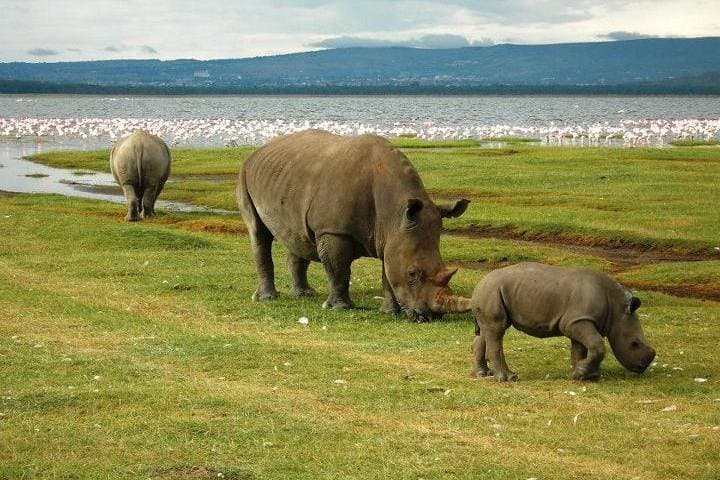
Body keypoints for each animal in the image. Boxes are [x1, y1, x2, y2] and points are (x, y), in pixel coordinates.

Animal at [236, 129, 470, 322]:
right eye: (413, 274)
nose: (430, 316)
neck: (394, 211)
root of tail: (259, 150)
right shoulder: (333, 230)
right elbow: (339, 270)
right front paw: (339, 308)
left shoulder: (392, 234)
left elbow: (387, 272)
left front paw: (388, 312)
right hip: (244, 175)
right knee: (258, 233)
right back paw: (267, 298)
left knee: (297, 236)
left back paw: (304, 295)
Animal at [469, 262, 656, 381]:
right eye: (634, 344)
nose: (641, 368)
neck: (616, 308)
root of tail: (479, 283)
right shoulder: (577, 321)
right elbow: (597, 345)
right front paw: (583, 373)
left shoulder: (578, 320)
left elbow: (580, 349)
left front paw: (583, 375)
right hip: (491, 291)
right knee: (497, 330)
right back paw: (509, 378)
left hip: (491, 292)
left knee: (487, 331)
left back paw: (483, 374)